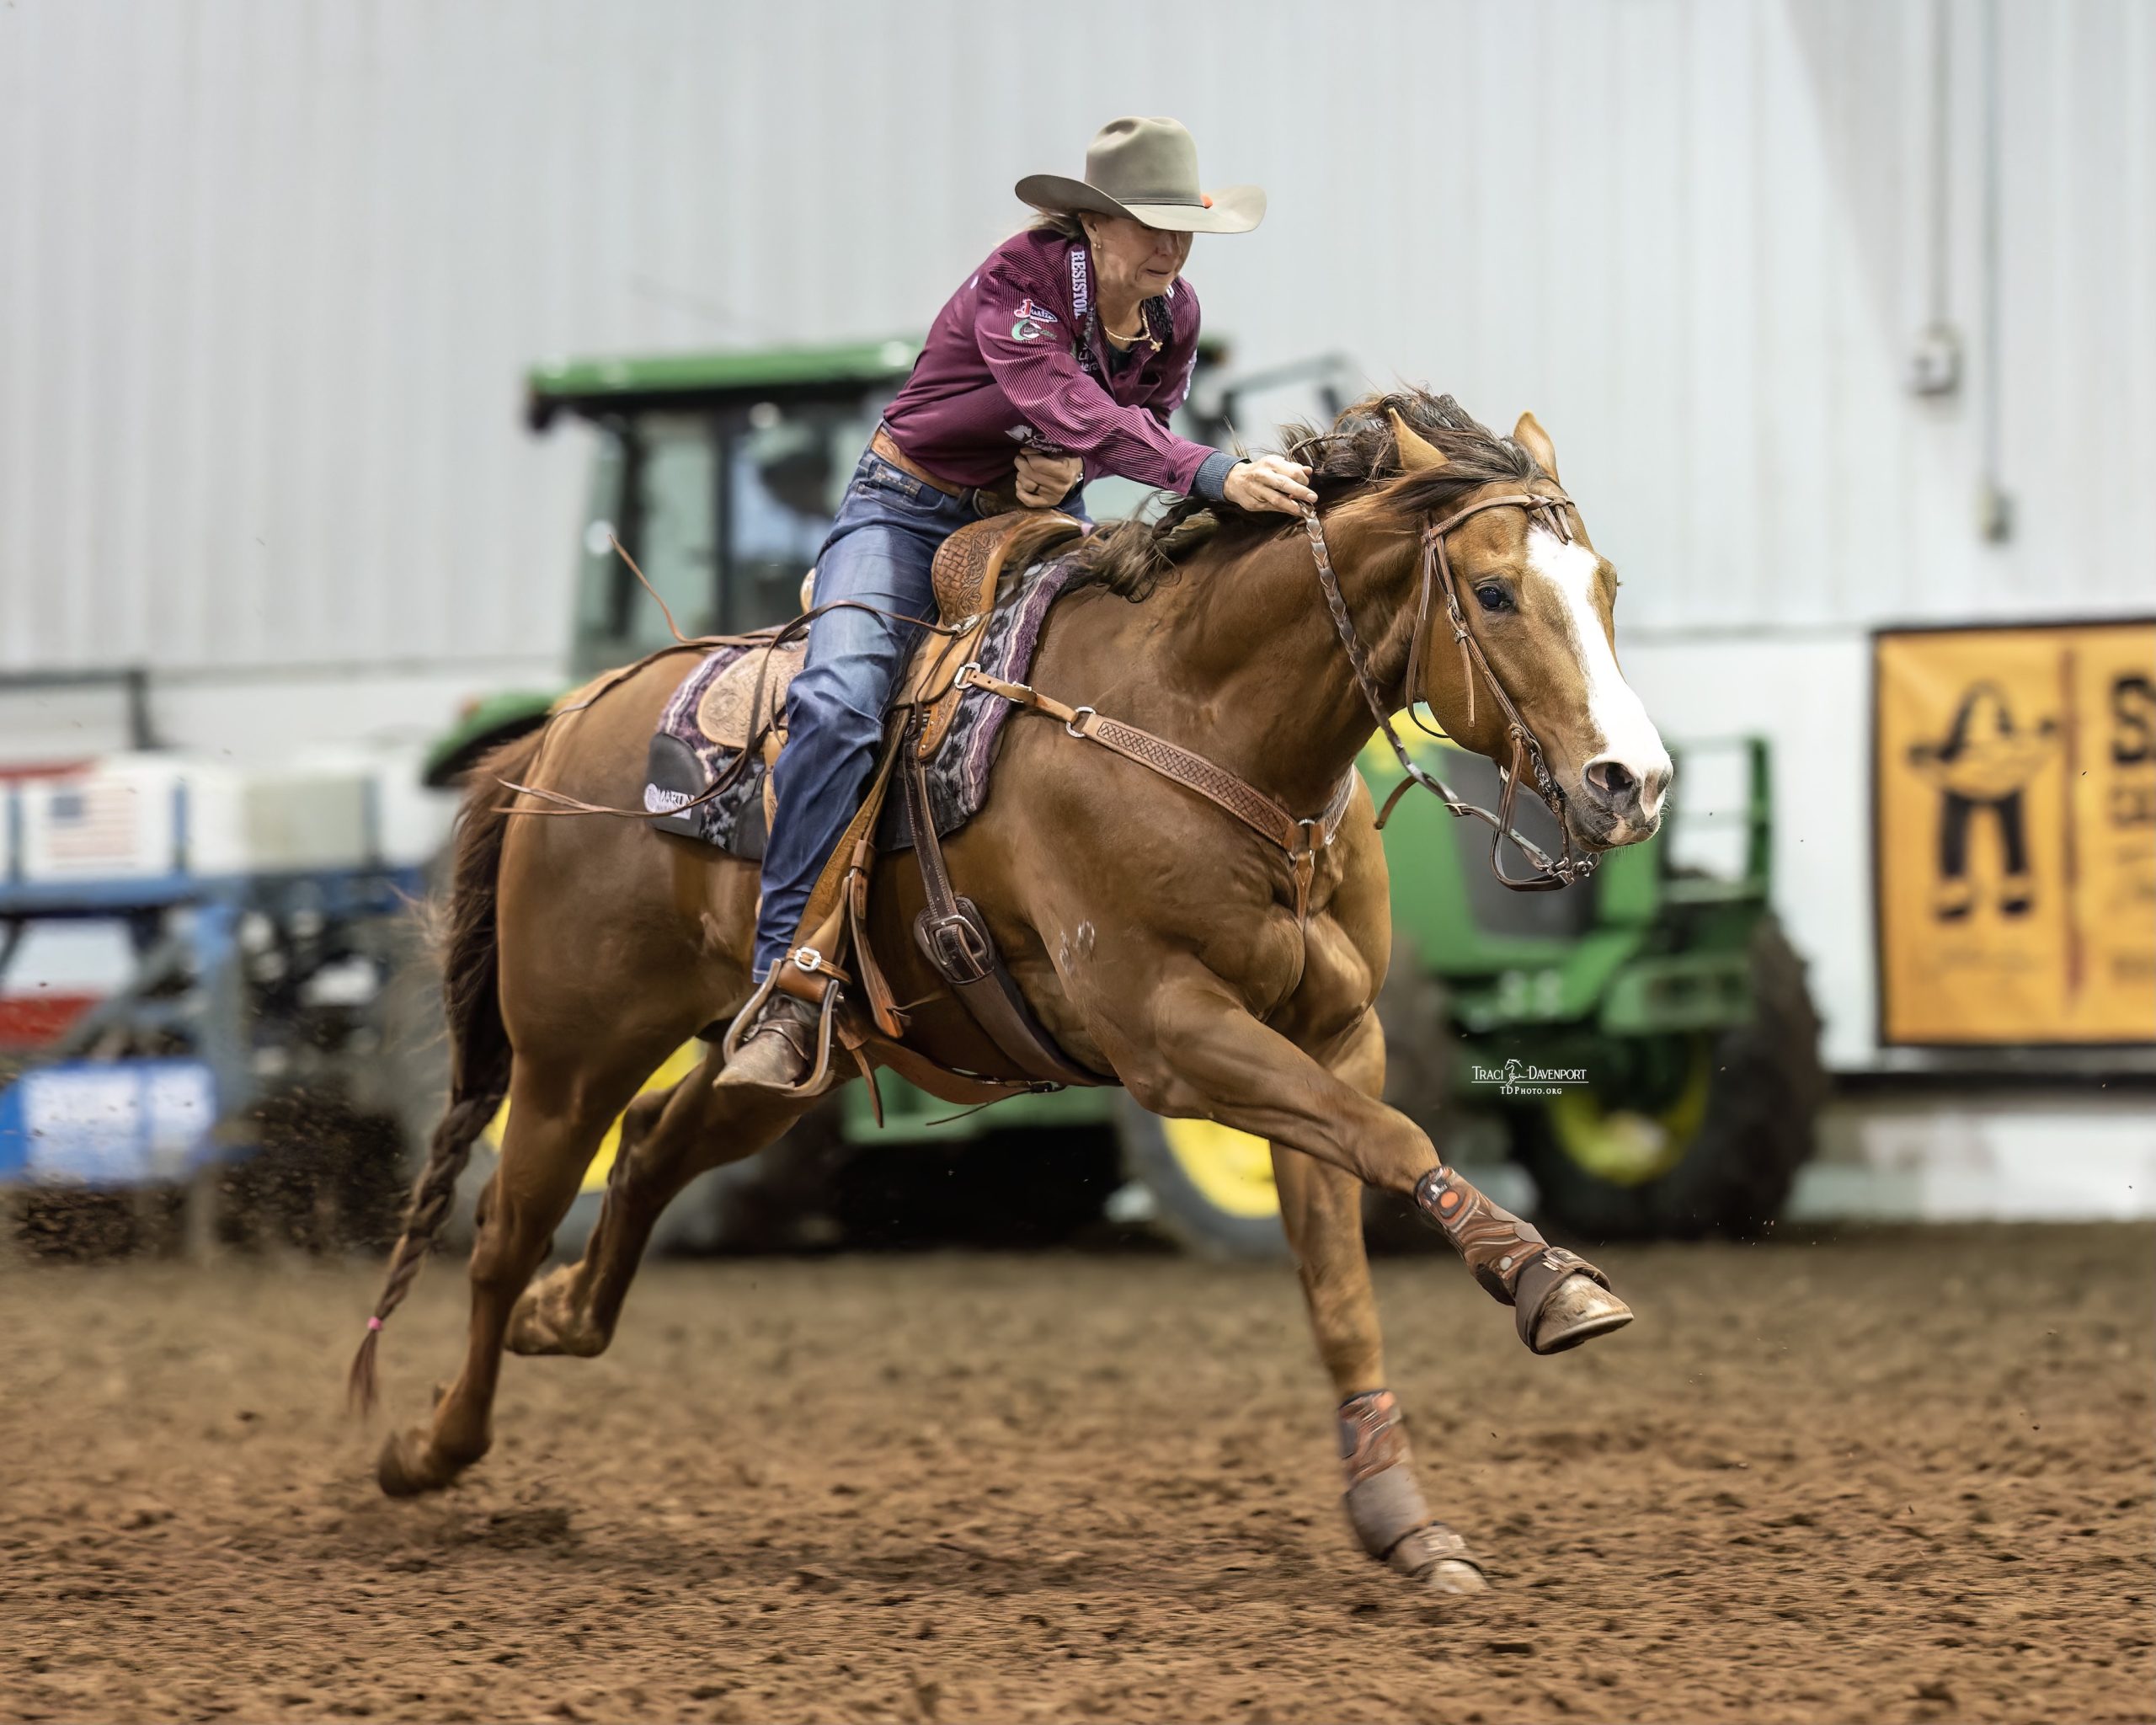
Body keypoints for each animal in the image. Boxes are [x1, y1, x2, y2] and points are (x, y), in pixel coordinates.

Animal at [344, 387, 1673, 1587]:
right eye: (1494, 592)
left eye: (1606, 582)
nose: (1635, 781)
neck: (1199, 716)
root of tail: (563, 724)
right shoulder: (1171, 1034)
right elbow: (1398, 1142)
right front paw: (1551, 1282)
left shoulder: (1333, 1036)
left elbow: (1341, 1263)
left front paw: (1400, 1518)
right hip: (571, 1053)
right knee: (503, 1230)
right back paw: (426, 1446)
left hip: (778, 1057)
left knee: (659, 1144)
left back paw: (562, 1316)